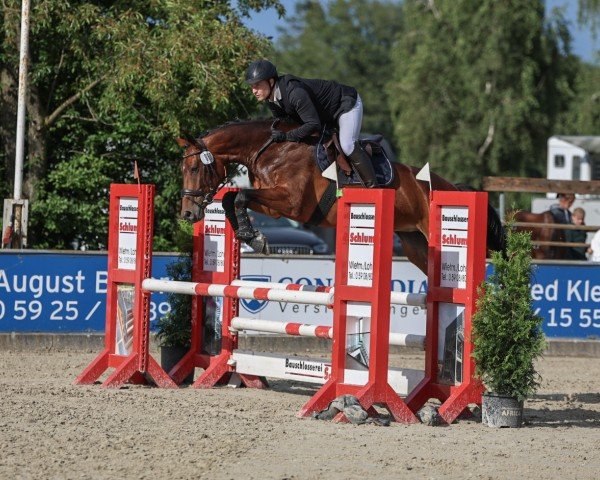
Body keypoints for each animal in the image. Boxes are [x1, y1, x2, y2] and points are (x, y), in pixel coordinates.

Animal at [178, 119, 506, 274]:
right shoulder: (275, 207)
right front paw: (250, 235)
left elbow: (240, 197)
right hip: (414, 243)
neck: (272, 149)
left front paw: (254, 237)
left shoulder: (291, 203)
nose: (188, 214)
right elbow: (232, 199)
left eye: (194, 167)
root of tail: (454, 187)